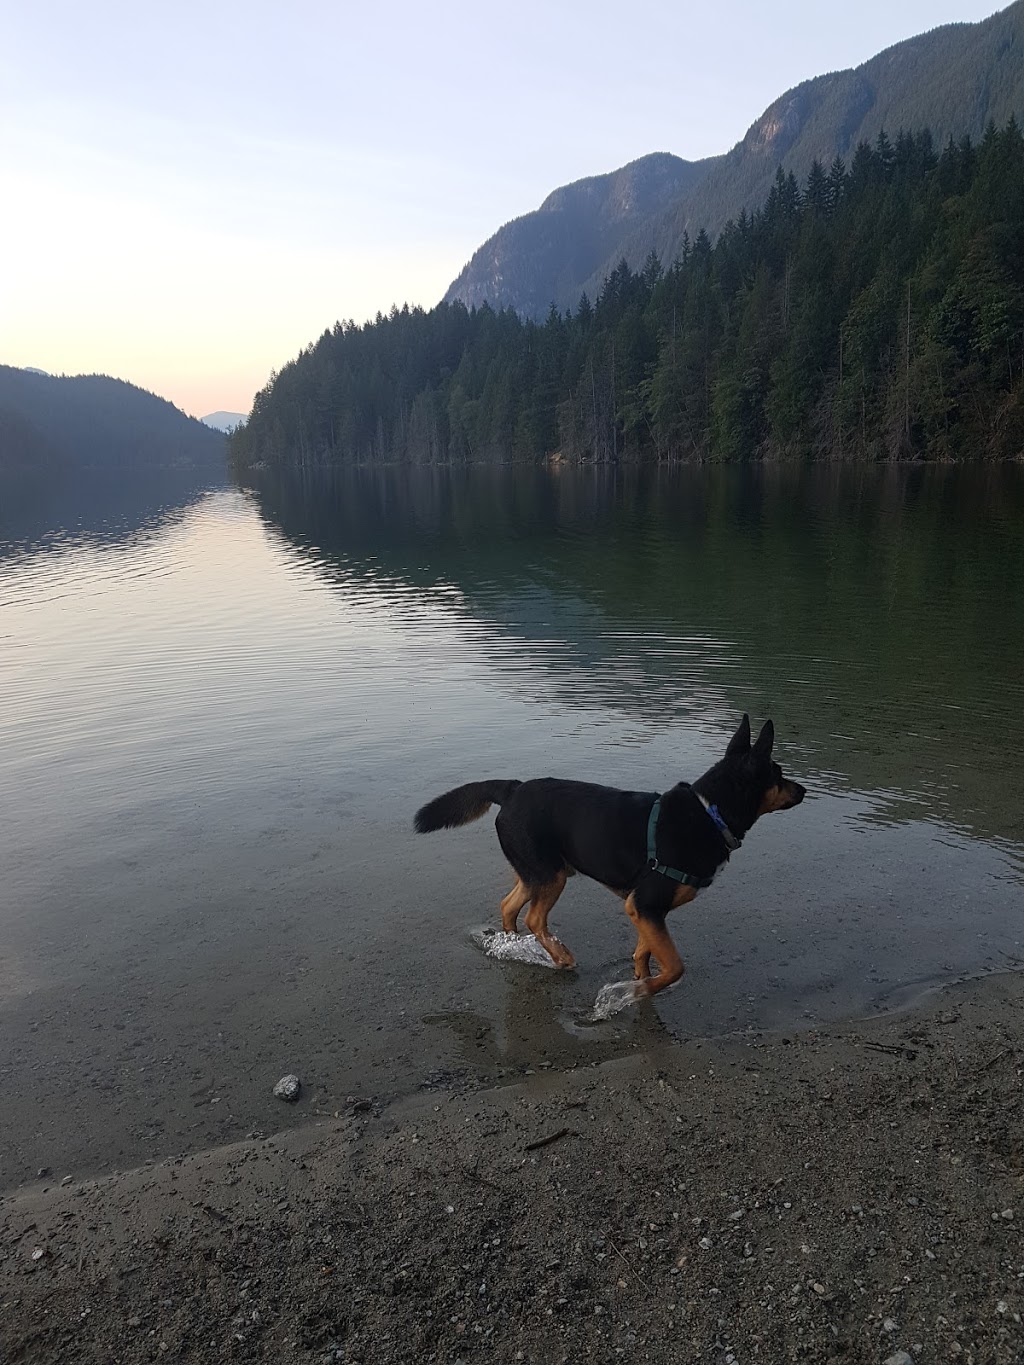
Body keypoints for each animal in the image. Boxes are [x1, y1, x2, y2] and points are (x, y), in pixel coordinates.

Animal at [412, 720, 808, 999]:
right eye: (778, 774)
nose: (803, 790)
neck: (711, 813)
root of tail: (513, 788)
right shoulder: (647, 904)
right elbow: (674, 965)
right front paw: (637, 992)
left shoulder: (645, 909)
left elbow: (645, 952)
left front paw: (641, 980)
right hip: (551, 876)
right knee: (534, 918)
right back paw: (560, 957)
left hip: (538, 871)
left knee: (509, 906)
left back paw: (515, 947)